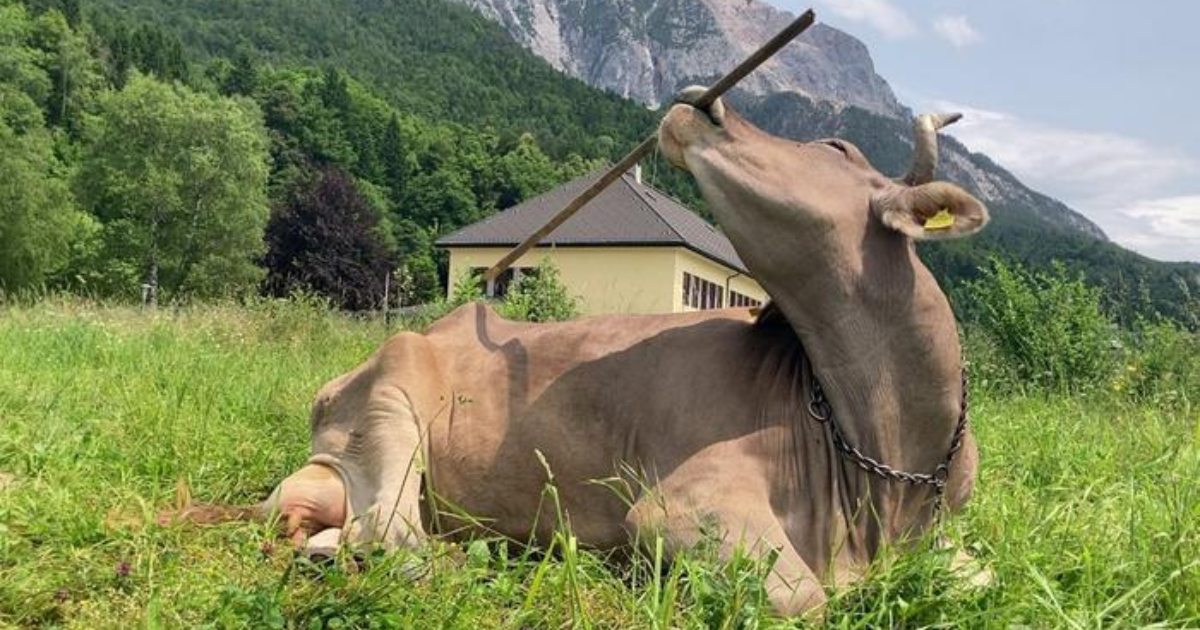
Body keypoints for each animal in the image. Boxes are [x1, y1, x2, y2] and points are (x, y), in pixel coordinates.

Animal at [167, 88, 989, 618]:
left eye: (832, 146)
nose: (700, 99)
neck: (885, 463)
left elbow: (977, 579)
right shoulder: (680, 505)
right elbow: (806, 598)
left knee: (347, 533)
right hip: (390, 405)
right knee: (394, 539)